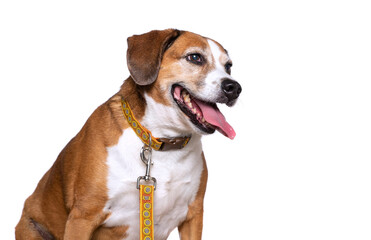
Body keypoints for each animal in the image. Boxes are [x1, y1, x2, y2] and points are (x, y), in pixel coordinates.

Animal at [16, 29, 244, 239]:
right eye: (195, 57)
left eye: (228, 66)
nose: (234, 87)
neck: (163, 140)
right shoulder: (82, 217)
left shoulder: (193, 215)